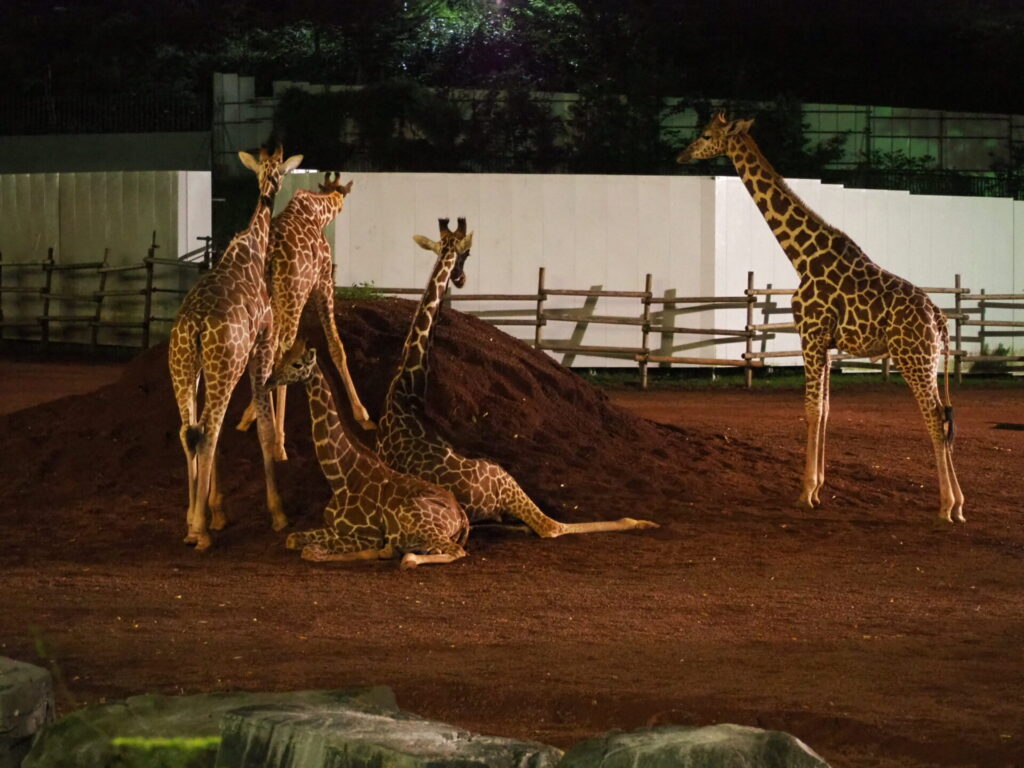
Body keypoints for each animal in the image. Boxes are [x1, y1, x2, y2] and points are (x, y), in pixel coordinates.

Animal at [167, 145, 301, 552]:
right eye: (283, 171)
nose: (275, 186)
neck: (253, 249)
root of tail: (194, 327)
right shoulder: (263, 345)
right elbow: (264, 429)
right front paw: (279, 514)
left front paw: (218, 511)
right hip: (223, 366)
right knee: (206, 432)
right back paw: (200, 531)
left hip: (185, 367)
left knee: (189, 431)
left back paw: (191, 522)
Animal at [236, 171, 376, 456]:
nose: (342, 204)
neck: (317, 213)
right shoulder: (324, 282)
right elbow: (336, 346)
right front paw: (363, 415)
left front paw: (250, 415)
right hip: (293, 295)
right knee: (284, 350)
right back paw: (279, 442)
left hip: (269, 300)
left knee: (262, 350)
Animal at [266, 342, 468, 573]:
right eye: (281, 358)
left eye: (297, 364)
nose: (270, 381)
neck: (340, 477)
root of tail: (463, 517)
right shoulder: (333, 528)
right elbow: (292, 539)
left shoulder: (368, 534)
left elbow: (311, 551)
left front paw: (374, 552)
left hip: (413, 515)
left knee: (455, 551)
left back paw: (406, 558)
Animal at [374, 219, 655, 536]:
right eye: (467, 252)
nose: (460, 278)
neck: (406, 390)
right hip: (505, 479)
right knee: (549, 526)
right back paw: (638, 520)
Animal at [675, 112, 962, 524]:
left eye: (706, 133)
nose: (682, 155)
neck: (803, 256)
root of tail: (939, 318)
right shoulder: (825, 343)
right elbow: (825, 410)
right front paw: (820, 488)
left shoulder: (809, 335)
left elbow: (811, 410)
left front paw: (805, 492)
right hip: (930, 359)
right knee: (948, 417)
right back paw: (960, 504)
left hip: (913, 358)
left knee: (936, 419)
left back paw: (947, 506)